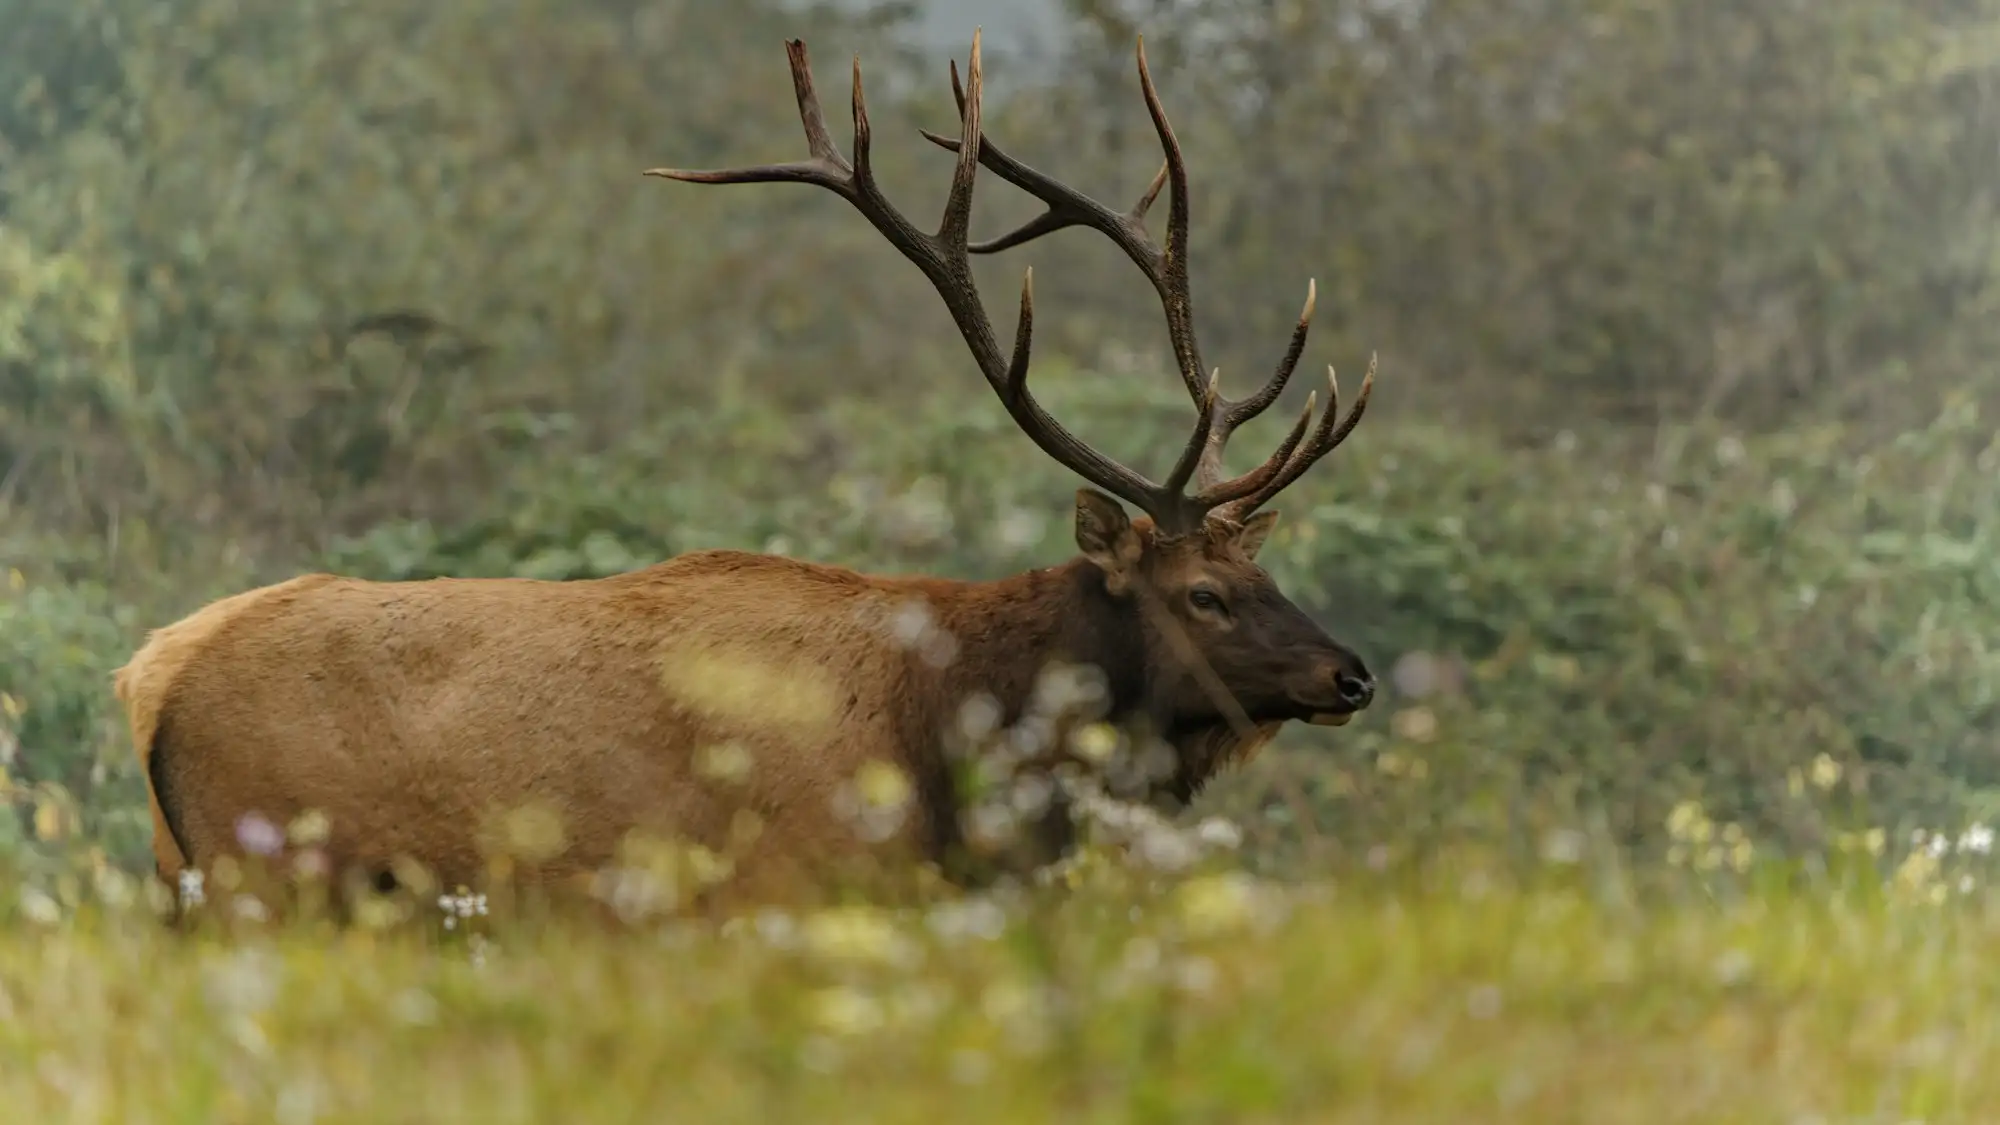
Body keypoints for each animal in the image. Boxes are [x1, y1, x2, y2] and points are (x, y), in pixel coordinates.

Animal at [112, 29, 1380, 920]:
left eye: (1264, 574)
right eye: (1202, 594)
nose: (1352, 673)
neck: (951, 748)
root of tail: (149, 679)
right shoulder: (788, 888)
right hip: (266, 876)